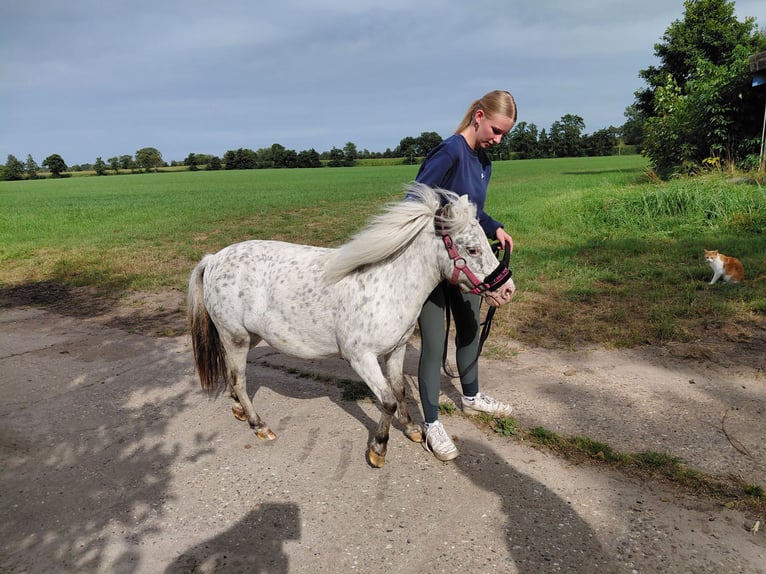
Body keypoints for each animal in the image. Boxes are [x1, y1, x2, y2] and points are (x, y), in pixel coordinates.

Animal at [187, 182, 515, 467]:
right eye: (472, 249)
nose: (507, 290)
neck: (388, 284)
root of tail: (213, 259)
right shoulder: (361, 357)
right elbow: (387, 400)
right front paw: (378, 450)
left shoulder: (394, 351)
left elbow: (399, 391)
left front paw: (411, 429)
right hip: (235, 337)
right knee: (239, 380)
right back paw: (260, 426)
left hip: (249, 337)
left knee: (233, 378)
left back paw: (239, 410)